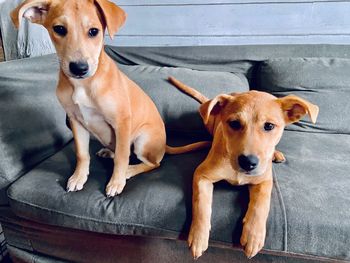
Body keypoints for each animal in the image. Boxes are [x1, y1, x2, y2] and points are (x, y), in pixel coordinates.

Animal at [10, 0, 209, 198]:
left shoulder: (122, 122)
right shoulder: (76, 121)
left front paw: (116, 181)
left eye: (94, 31)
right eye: (59, 29)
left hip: (142, 140)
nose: (79, 68)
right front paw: (79, 177)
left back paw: (129, 170)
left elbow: (121, 157)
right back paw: (108, 153)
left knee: (152, 163)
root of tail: (164, 146)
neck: (84, 85)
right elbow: (82, 154)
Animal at [168, 77, 318, 258]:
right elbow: (201, 204)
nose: (248, 162)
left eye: (269, 126)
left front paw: (253, 235)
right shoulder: (202, 174)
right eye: (234, 123)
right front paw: (198, 237)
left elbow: (262, 203)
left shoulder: (265, 180)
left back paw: (276, 154)